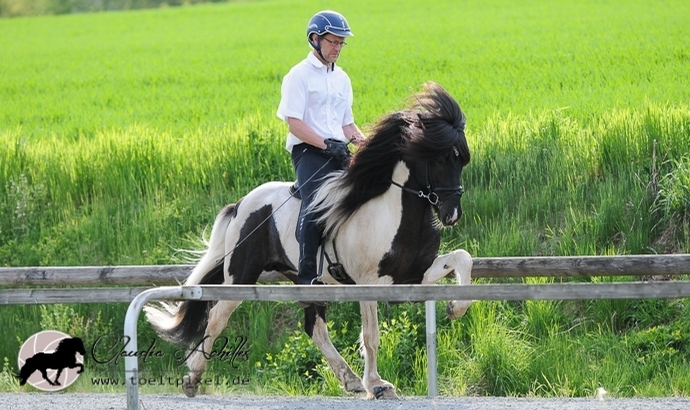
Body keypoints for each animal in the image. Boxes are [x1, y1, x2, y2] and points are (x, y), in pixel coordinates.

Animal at [142, 81, 470, 398]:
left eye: (461, 161)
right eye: (441, 159)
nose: (452, 214)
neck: (395, 212)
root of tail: (242, 203)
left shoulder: (414, 275)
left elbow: (462, 258)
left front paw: (455, 308)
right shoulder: (368, 282)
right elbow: (371, 335)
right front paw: (377, 385)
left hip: (306, 280)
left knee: (314, 328)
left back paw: (350, 379)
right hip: (240, 275)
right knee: (217, 317)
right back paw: (193, 378)